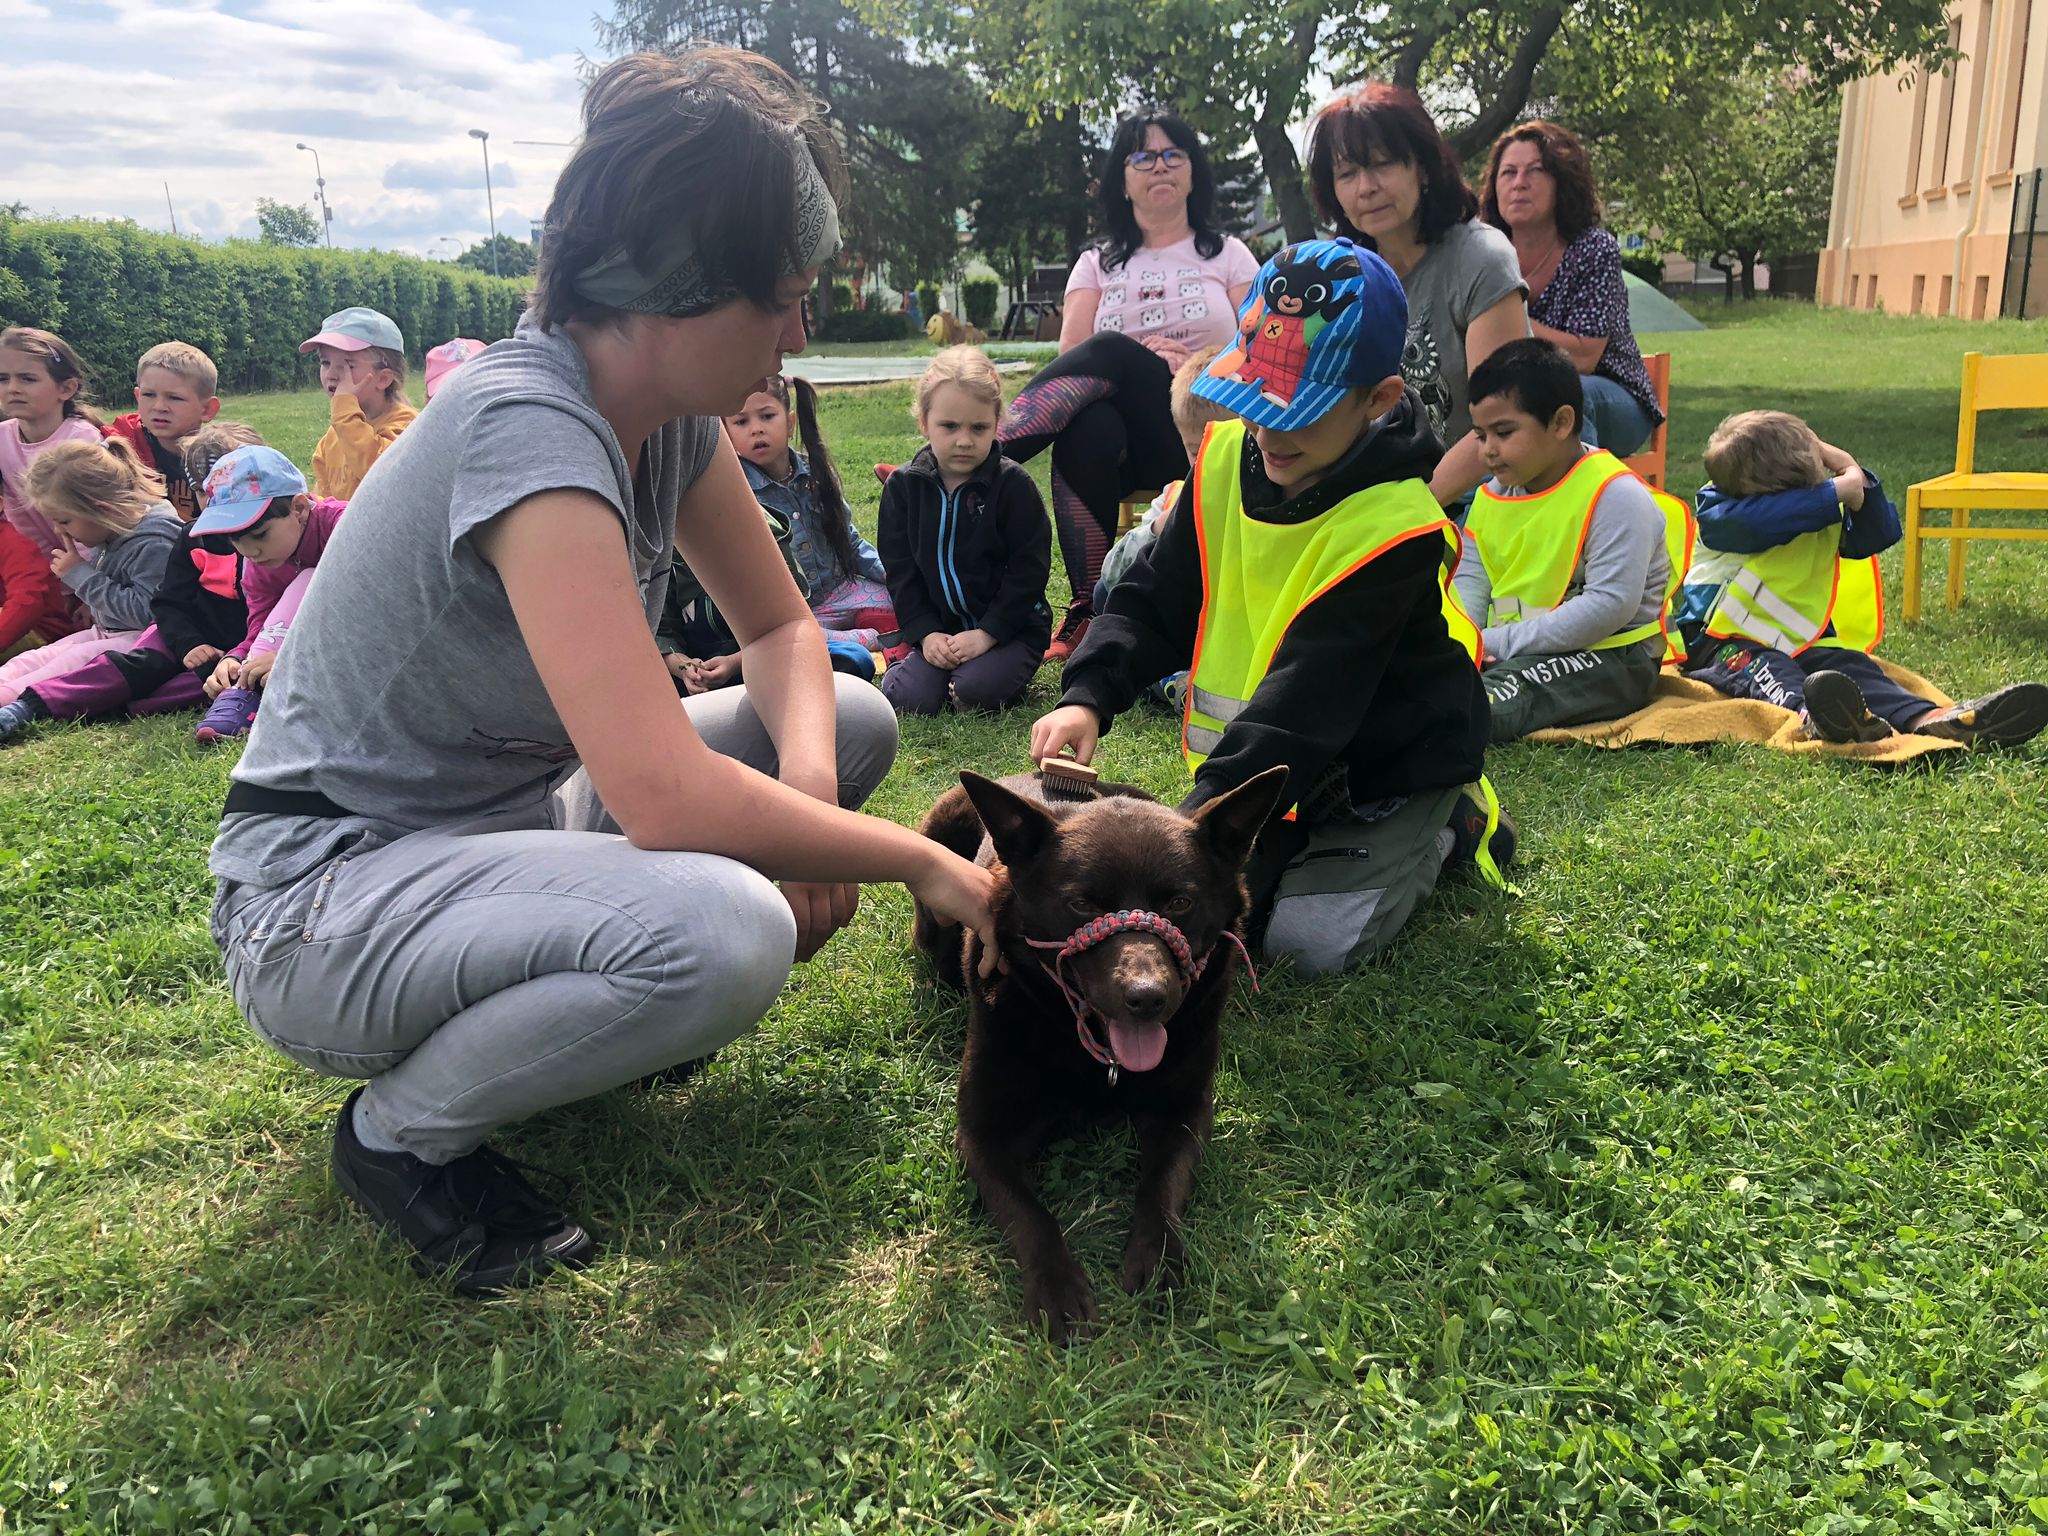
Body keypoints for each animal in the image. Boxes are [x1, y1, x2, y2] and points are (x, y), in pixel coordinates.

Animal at [921, 770, 1286, 1343]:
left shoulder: (1186, 1111)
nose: (1147, 998)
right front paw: (1058, 1288)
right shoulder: (981, 1135)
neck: (1094, 1057)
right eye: (1083, 905)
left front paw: (1157, 1259)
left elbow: (1161, 1184)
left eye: (1179, 903)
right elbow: (1029, 1212)